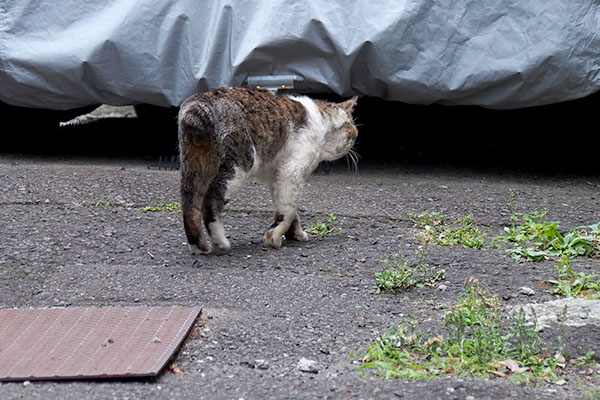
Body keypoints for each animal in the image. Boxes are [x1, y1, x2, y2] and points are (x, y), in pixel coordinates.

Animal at [177, 87, 356, 255]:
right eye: (354, 131)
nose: (354, 142)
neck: (321, 123)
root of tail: (200, 100)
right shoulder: (291, 172)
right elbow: (288, 210)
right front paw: (274, 236)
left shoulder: (277, 177)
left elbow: (289, 208)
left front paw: (295, 234)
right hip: (239, 166)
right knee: (210, 201)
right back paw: (220, 242)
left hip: (194, 169)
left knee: (190, 207)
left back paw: (198, 246)